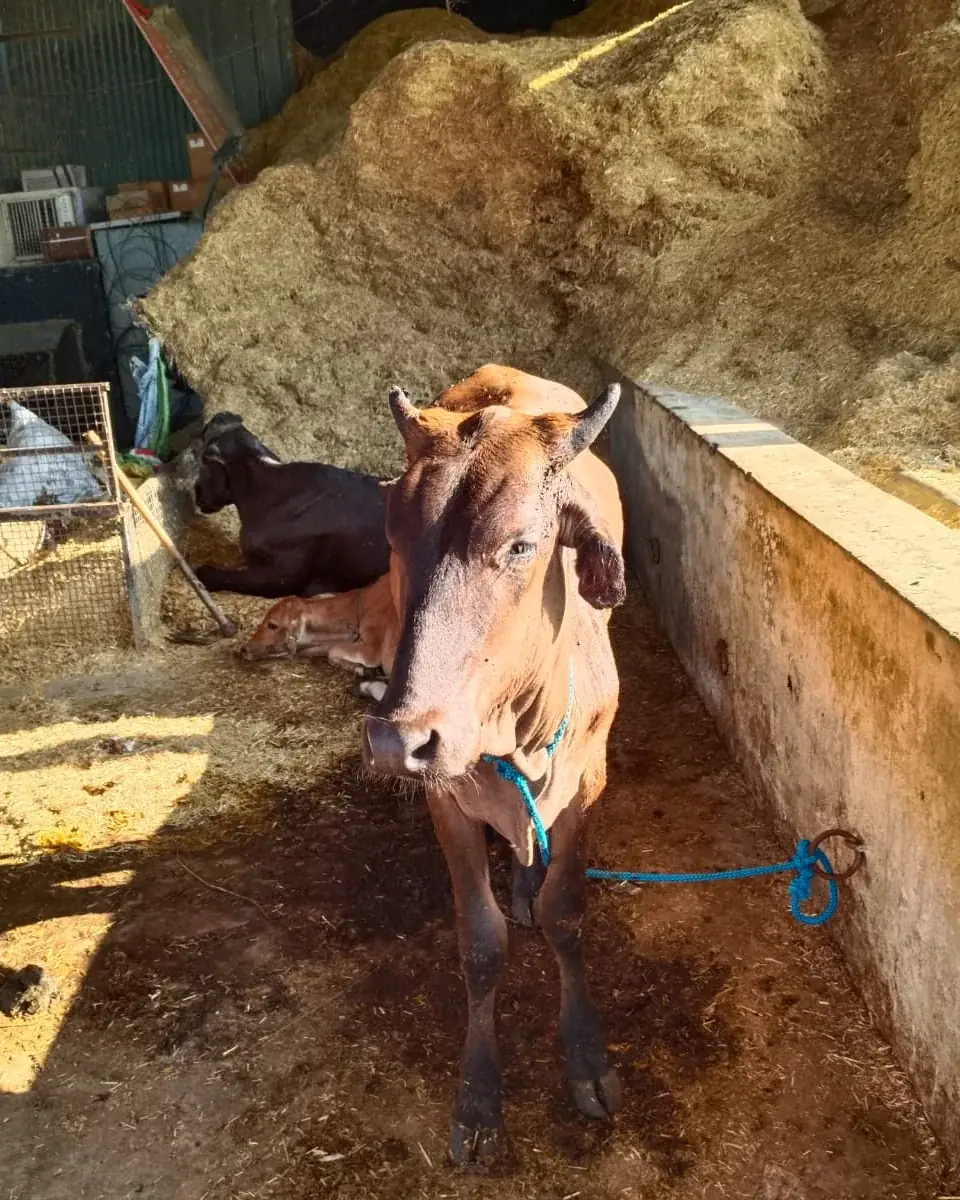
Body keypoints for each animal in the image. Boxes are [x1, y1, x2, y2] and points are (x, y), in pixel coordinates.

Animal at [361, 364, 626, 1164]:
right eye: (393, 537)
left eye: (520, 546)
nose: (400, 741)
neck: (516, 732)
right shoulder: (445, 801)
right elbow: (479, 944)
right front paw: (479, 1094)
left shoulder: (587, 786)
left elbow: (568, 912)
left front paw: (585, 1054)